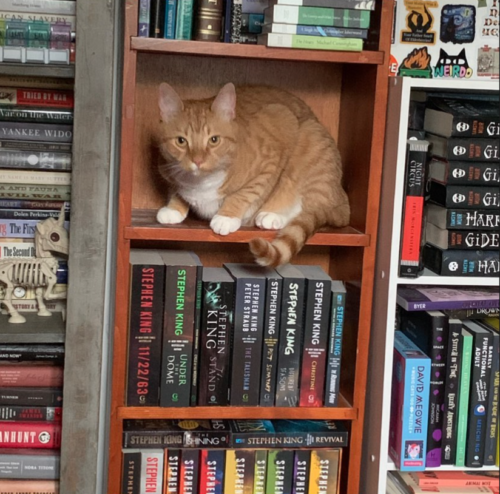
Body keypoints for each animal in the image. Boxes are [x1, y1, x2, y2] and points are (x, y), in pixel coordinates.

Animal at [158, 82, 350, 266]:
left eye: (214, 140)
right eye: (181, 141)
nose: (197, 161)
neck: (201, 183)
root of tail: (341, 197)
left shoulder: (272, 150)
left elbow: (242, 194)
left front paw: (226, 216)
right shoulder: (167, 170)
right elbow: (175, 190)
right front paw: (173, 208)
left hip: (311, 144)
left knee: (311, 206)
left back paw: (273, 215)